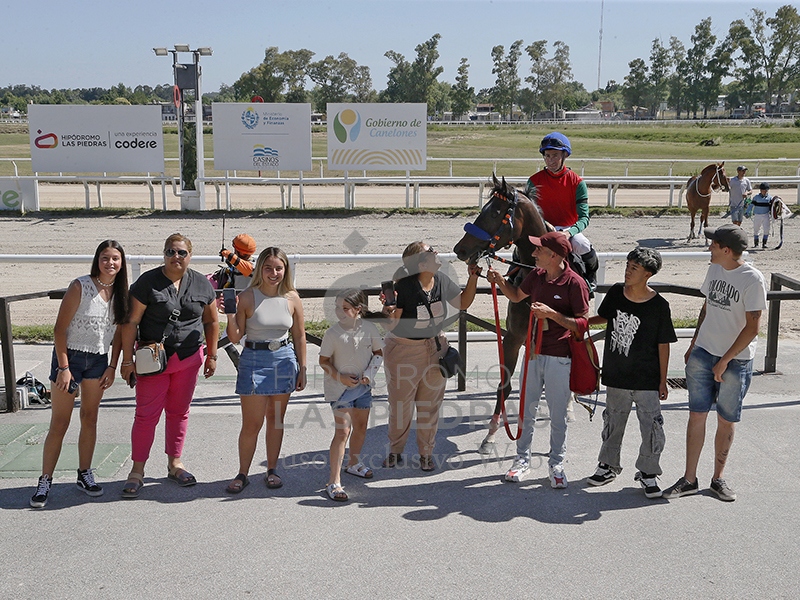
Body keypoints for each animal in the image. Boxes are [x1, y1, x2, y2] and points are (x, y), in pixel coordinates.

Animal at [453, 175, 549, 430]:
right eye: (483, 209)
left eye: (496, 213)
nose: (460, 249)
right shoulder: (514, 337)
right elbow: (505, 384)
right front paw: (495, 425)